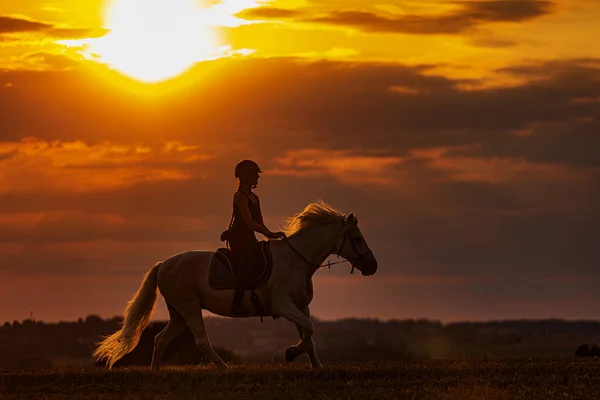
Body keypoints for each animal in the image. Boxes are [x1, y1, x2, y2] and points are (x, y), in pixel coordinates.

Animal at [94, 202, 378, 370]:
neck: (296, 259)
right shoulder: (283, 305)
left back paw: (155, 373)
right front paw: (290, 353)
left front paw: (316, 367)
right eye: (357, 238)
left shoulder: (301, 306)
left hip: (178, 313)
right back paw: (224, 369)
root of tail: (164, 264)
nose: (372, 266)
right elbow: (308, 329)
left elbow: (309, 335)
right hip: (189, 308)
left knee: (160, 339)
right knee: (201, 341)